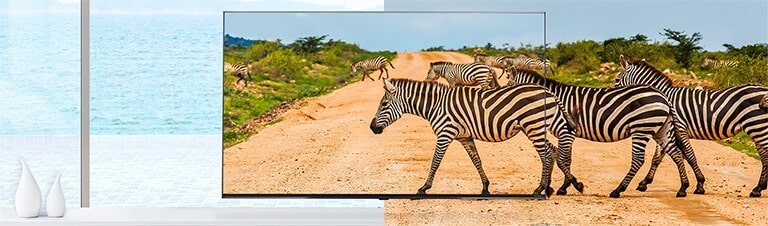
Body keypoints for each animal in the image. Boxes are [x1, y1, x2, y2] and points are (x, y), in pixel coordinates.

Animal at [368, 78, 580, 197]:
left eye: (384, 104)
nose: (372, 128)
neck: (436, 105)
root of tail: (548, 91)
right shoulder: (464, 137)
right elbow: (476, 160)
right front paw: (485, 187)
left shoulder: (445, 133)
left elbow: (435, 161)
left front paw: (424, 187)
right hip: (537, 126)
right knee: (553, 151)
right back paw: (554, 187)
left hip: (533, 126)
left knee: (547, 154)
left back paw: (541, 188)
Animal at [510, 69, 696, 198]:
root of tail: (663, 96)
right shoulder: (568, 135)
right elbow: (567, 160)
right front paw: (565, 187)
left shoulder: (566, 131)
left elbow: (563, 160)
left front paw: (573, 185)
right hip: (660, 129)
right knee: (676, 154)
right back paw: (683, 188)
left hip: (641, 129)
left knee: (638, 159)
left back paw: (618, 190)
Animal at [616, 55, 768, 198]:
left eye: (617, 80)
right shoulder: (667, 130)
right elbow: (657, 158)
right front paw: (644, 183)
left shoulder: (679, 128)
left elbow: (689, 156)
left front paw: (699, 185)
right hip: (757, 128)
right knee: (764, 156)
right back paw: (758, 189)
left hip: (757, 125)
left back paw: (758, 189)